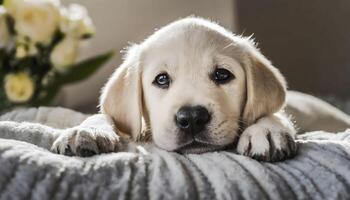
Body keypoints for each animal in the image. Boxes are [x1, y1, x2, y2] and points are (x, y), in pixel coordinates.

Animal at [51, 17, 298, 162]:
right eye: (161, 79)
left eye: (222, 74)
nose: (192, 118)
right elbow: (104, 116)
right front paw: (86, 130)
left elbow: (275, 113)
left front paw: (266, 130)